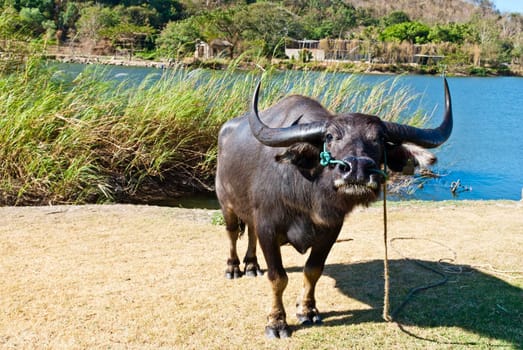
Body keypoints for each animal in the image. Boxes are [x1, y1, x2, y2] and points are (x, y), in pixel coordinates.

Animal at [215, 78, 452, 336]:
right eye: (329, 136)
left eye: (379, 139)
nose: (358, 169)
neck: (307, 196)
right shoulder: (268, 226)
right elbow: (278, 277)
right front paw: (276, 322)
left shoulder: (330, 230)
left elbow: (313, 270)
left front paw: (307, 310)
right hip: (225, 202)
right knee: (231, 233)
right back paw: (233, 268)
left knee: (250, 231)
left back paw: (251, 265)